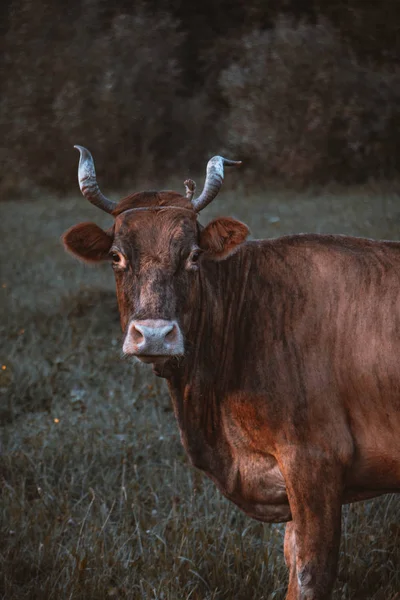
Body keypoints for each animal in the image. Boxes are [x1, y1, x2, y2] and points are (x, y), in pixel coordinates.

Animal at [62, 146, 400, 600]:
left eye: (193, 255)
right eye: (116, 256)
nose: (154, 335)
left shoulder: (316, 460)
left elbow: (311, 573)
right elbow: (292, 558)